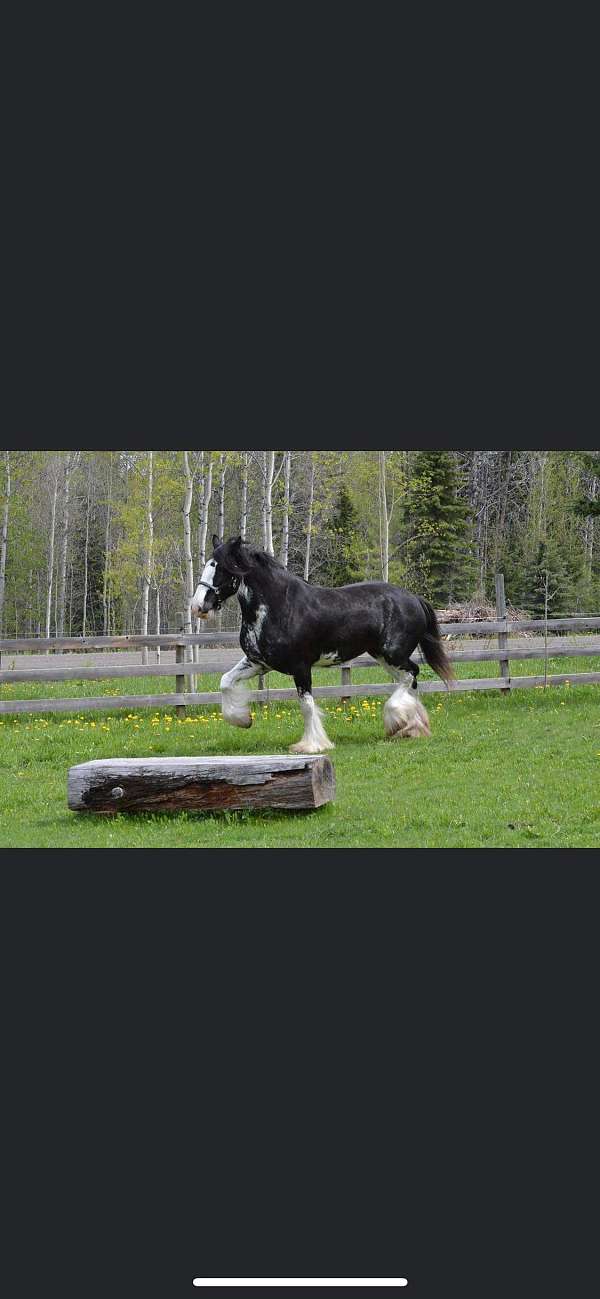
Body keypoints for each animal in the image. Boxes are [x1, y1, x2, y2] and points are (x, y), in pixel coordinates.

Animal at [193, 535, 454, 753]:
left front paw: (312, 746)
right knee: (410, 680)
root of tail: (414, 598)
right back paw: (411, 727)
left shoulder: (300, 667)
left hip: (394, 654)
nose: (198, 606)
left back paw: (400, 721)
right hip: (383, 656)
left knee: (412, 674)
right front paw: (243, 720)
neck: (278, 606)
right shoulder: (258, 663)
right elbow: (225, 681)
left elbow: (307, 706)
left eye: (221, 568)